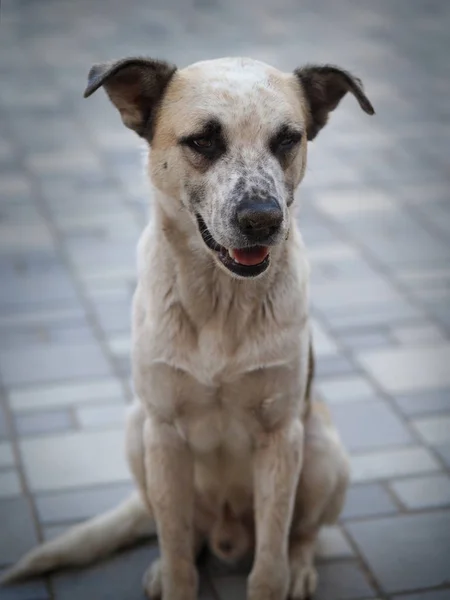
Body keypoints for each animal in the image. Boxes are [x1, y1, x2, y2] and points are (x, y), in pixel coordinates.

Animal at [1, 56, 374, 600]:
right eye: (202, 140)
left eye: (287, 139)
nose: (263, 220)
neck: (221, 301)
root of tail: (227, 533)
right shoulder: (164, 434)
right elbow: (177, 550)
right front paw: (173, 574)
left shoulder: (280, 436)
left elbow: (270, 562)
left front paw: (278, 575)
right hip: (136, 431)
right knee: (179, 531)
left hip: (323, 450)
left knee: (301, 533)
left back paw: (301, 568)